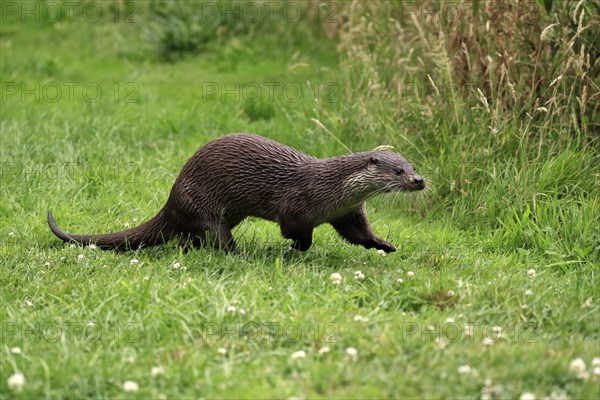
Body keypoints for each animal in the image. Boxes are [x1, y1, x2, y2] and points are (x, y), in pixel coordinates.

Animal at [49, 134, 426, 253]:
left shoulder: (347, 212)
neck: (331, 189)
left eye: (413, 165)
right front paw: (297, 248)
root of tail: (171, 199)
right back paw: (237, 251)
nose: (419, 181)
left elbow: (359, 234)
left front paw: (383, 244)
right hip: (201, 204)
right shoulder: (296, 205)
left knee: (186, 237)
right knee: (214, 235)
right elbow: (296, 231)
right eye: (397, 171)